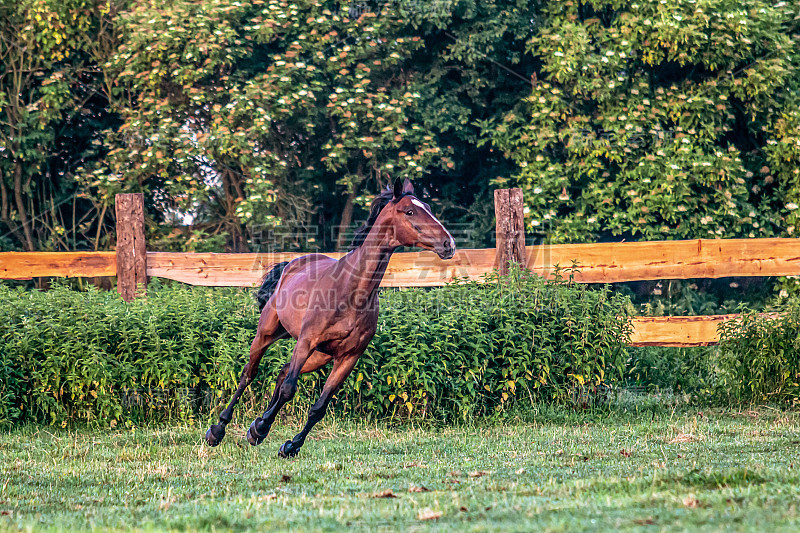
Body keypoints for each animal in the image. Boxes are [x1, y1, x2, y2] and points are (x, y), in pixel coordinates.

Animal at [205, 178, 456, 454]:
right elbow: (289, 390)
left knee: (283, 371)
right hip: (268, 334)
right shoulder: (306, 342)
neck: (351, 291)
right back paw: (218, 430)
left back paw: (258, 427)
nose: (448, 244)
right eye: (410, 211)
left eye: (428, 207)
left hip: (319, 356)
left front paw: (288, 445)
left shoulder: (348, 358)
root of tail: (292, 265)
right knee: (249, 374)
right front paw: (261, 430)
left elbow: (319, 408)